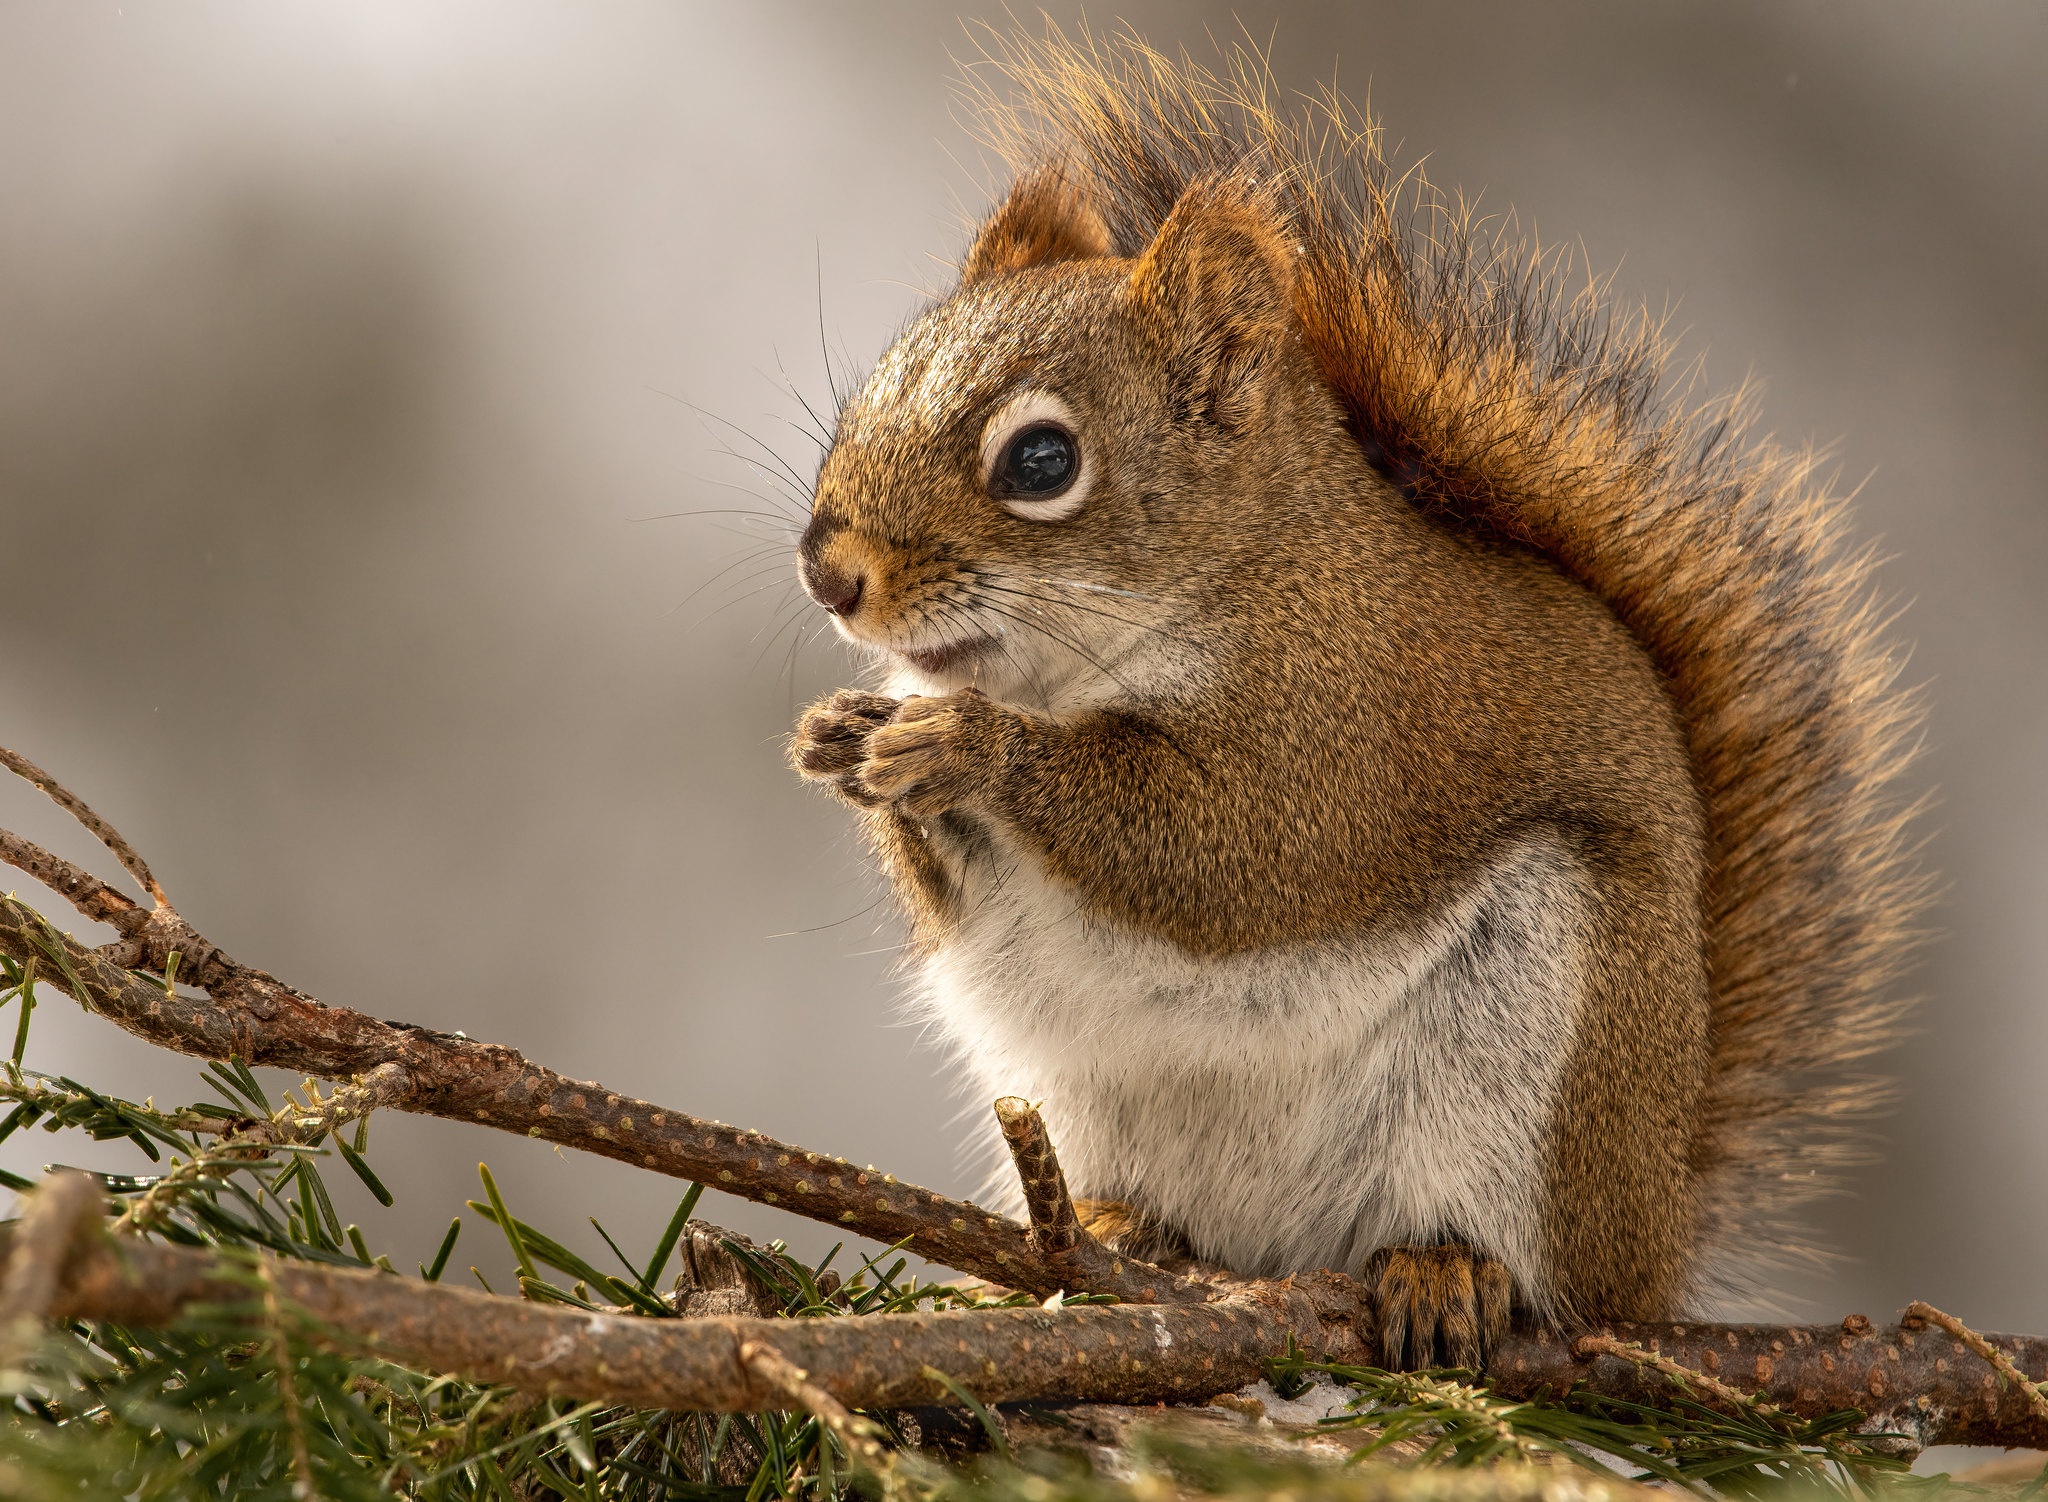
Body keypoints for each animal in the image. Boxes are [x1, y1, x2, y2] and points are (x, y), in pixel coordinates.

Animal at [778, 29, 1916, 1368]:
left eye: (1041, 460)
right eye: (862, 396)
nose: (829, 571)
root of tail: (1652, 1247)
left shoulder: (1347, 721)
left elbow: (1233, 851)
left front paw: (974, 746)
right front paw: (840, 739)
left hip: (1535, 1060)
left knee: (1514, 1251)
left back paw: (1444, 1271)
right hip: (1077, 1092)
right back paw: (1101, 1231)